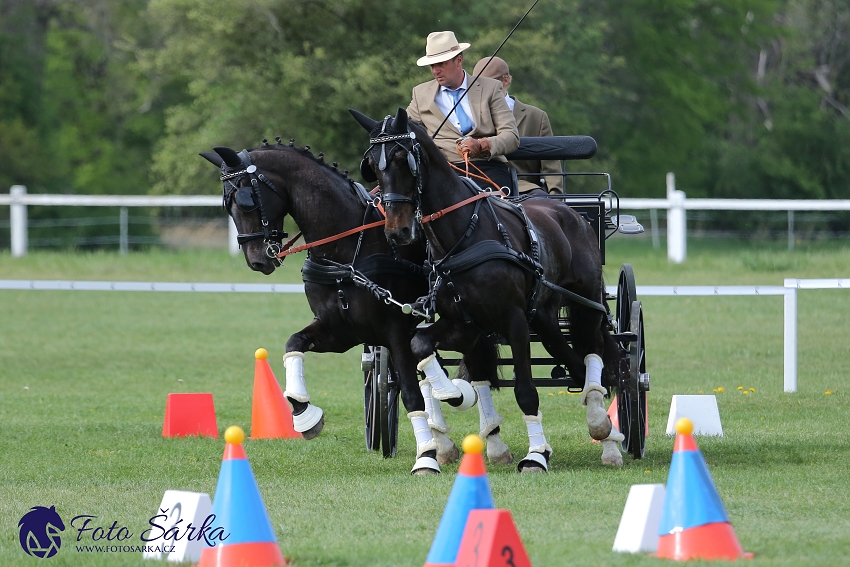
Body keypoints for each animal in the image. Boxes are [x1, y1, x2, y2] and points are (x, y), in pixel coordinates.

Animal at [200, 142, 496, 474]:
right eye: (226, 205)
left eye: (246, 201)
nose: (257, 260)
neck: (347, 249)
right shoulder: (340, 331)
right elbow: (294, 344)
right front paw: (304, 414)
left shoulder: (396, 330)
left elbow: (411, 393)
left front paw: (426, 456)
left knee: (472, 368)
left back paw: (488, 438)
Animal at [350, 110, 624, 470]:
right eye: (371, 163)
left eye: (401, 158)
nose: (397, 231)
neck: (464, 236)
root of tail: (566, 211)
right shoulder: (464, 323)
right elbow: (421, 344)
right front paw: (451, 393)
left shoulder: (514, 321)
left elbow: (526, 391)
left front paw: (536, 455)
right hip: (544, 316)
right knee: (573, 361)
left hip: (586, 303)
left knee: (593, 351)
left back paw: (604, 434)